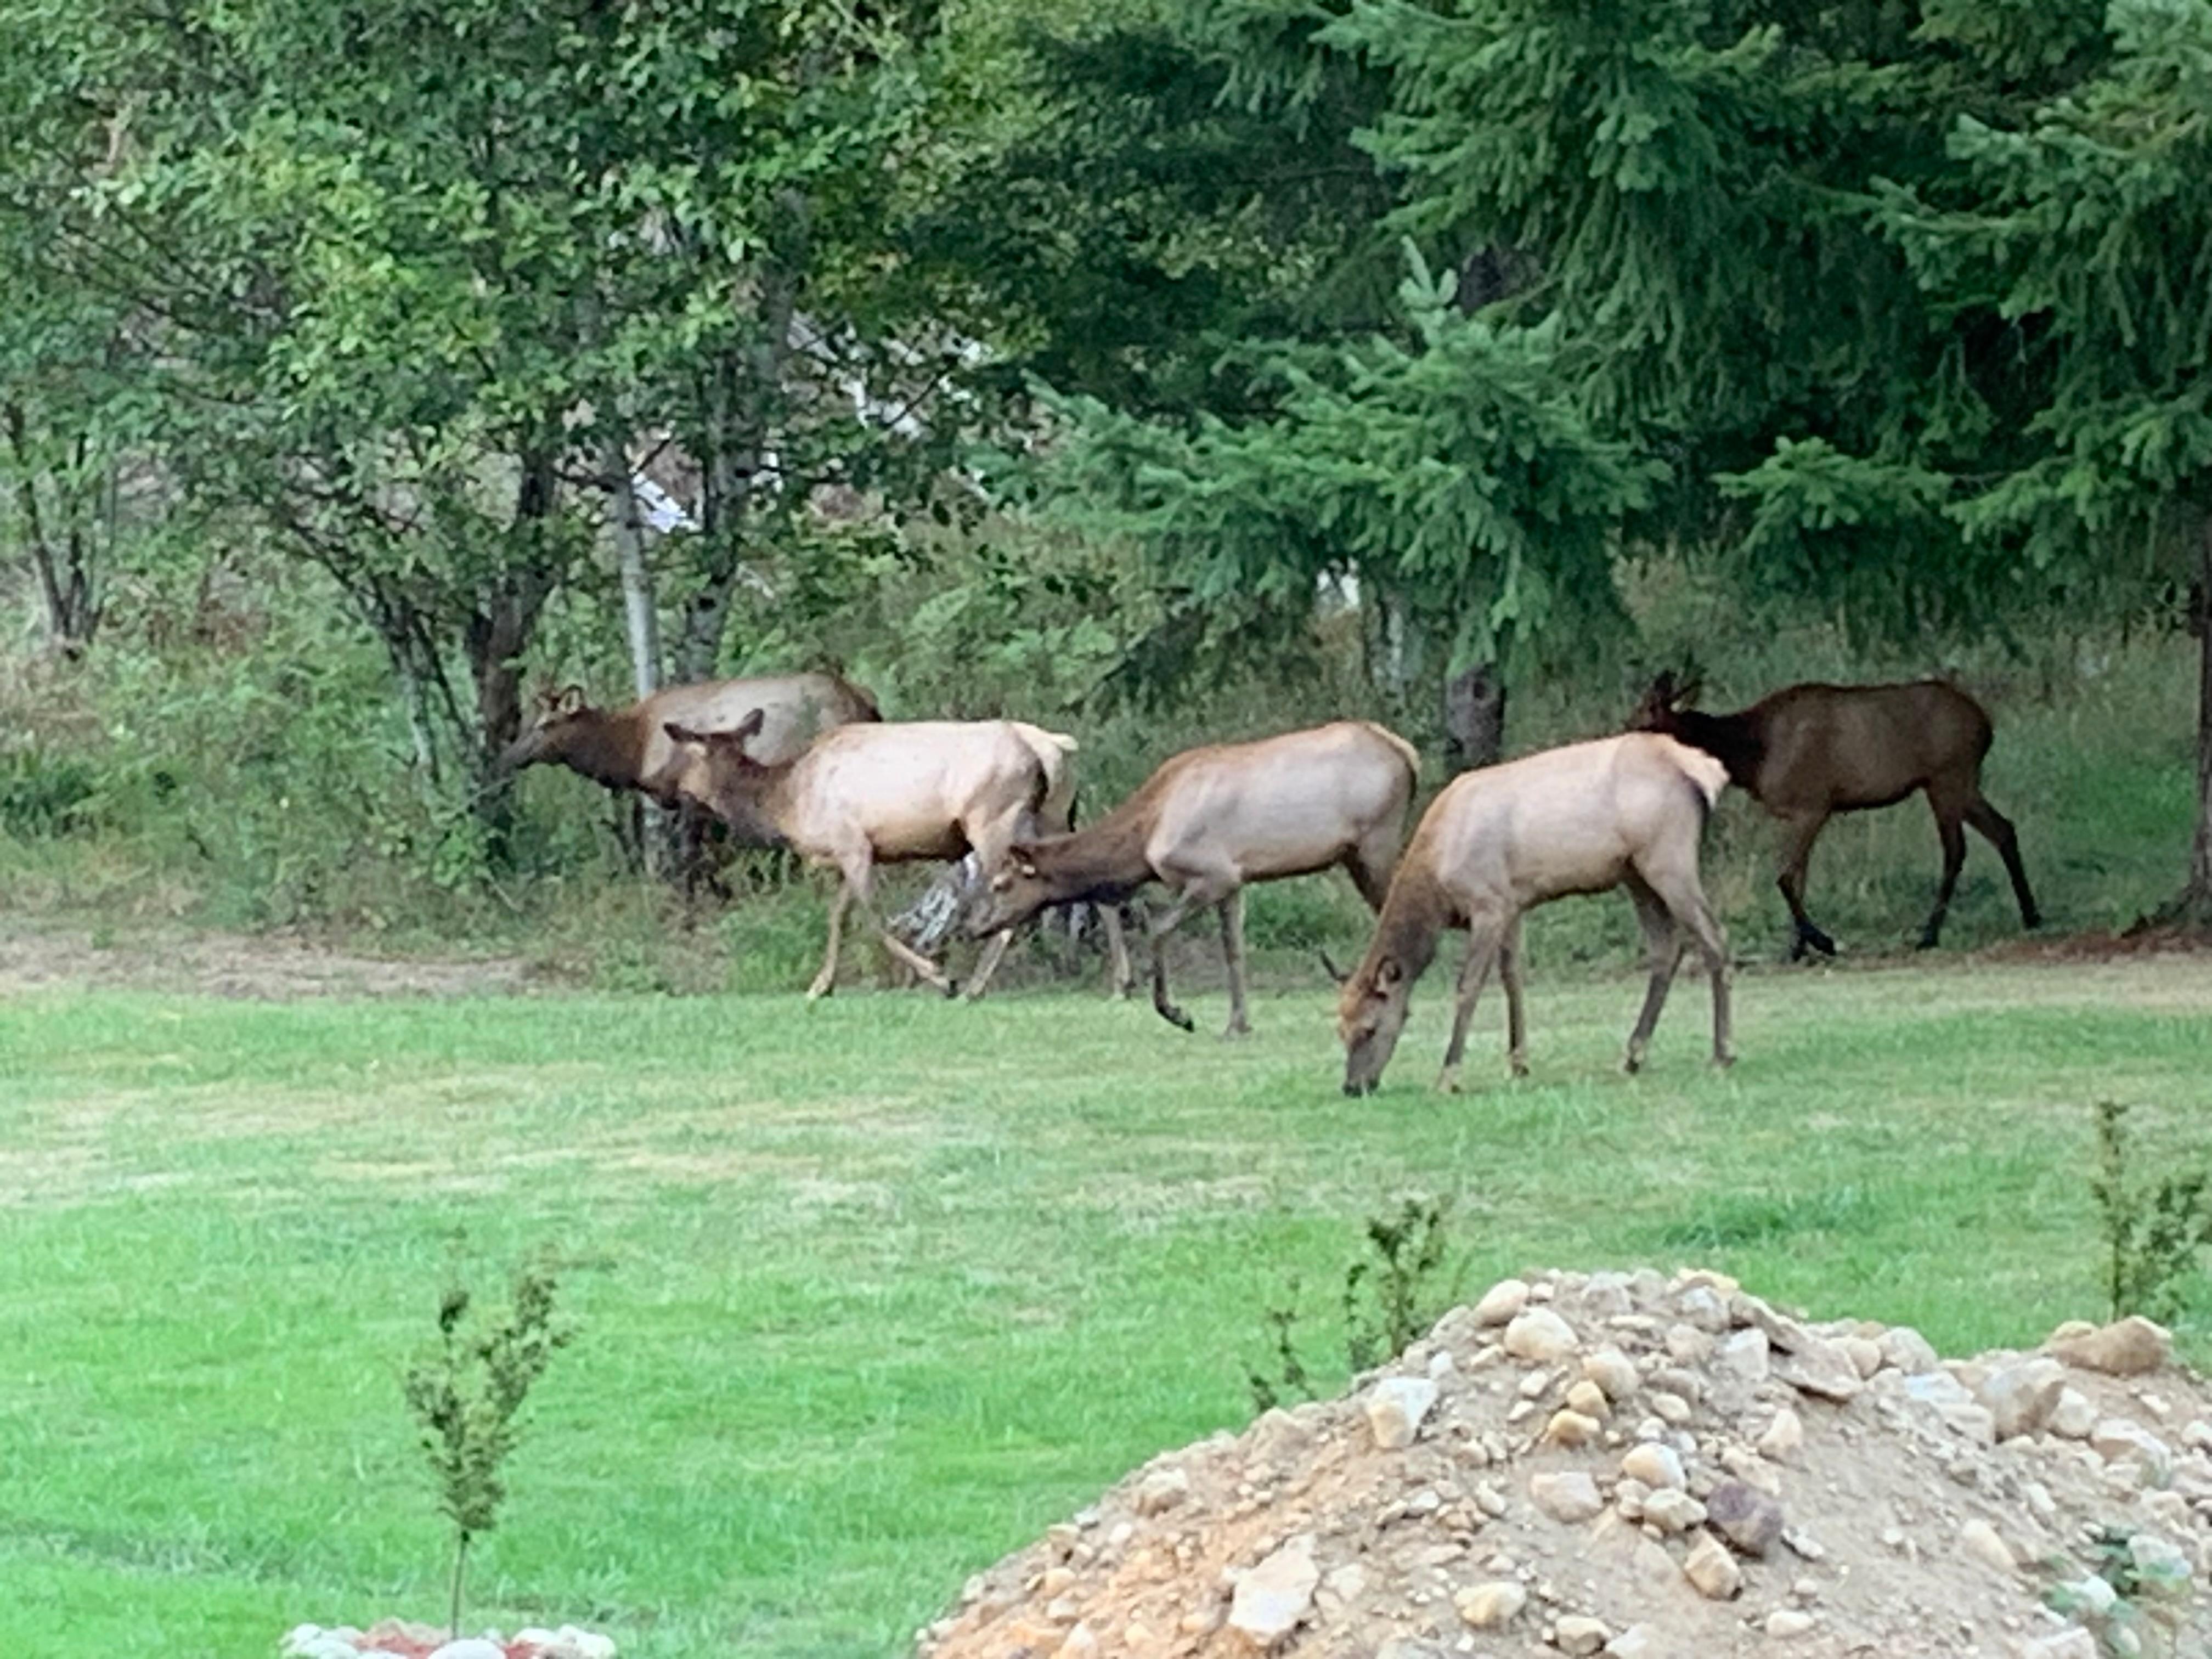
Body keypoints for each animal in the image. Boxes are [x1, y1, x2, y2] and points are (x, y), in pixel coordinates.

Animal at [665, 710, 1087, 1000]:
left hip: (992, 818)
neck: (787, 803)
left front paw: (939, 976)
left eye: (685, 758)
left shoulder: (854, 844)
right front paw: (821, 985)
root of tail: (1052, 749)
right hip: (1053, 817)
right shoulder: (845, 855)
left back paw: (974, 986)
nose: (668, 790)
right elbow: (838, 918)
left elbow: (874, 920)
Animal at [964, 721, 1421, 1038]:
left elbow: (1159, 927)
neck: (1144, 839)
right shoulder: (1235, 881)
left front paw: (1178, 1013)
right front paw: (1238, 1024)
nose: (973, 926)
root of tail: (1406, 752)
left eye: (1001, 885)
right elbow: (1234, 950)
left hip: (1375, 844)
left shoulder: (1210, 875)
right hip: (1360, 854)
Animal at [1338, 732, 1734, 1097]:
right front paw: (1518, 1063)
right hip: (1637, 875)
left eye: (1370, 1028)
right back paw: (1633, 1055)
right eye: (1340, 1030)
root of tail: (1706, 770)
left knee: (1714, 938)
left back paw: (1722, 1053)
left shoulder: (1488, 904)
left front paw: (1449, 1076)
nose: (1353, 1087)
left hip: (1669, 859)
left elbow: (1469, 987)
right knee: (1666, 948)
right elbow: (1513, 978)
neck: (1437, 880)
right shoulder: (1512, 906)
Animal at [1627, 670, 2041, 958]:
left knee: (1956, 850)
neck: (1748, 757)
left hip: (1947, 778)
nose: (1620, 738)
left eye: (1646, 714)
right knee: (2004, 829)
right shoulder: (1798, 814)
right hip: (1960, 783)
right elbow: (1798, 878)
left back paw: (1929, 934)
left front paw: (1821, 941)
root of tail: (1986, 724)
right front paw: (1796, 948)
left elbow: (1785, 879)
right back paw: (2031, 916)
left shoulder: (1813, 806)